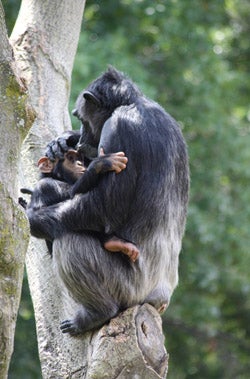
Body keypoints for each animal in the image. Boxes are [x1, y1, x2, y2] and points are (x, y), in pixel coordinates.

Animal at [26, 67, 188, 336]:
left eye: (82, 118)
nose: (81, 138)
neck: (132, 104)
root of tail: (159, 300)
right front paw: (61, 141)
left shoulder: (118, 127)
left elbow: (103, 207)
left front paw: (32, 218)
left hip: (128, 288)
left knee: (70, 240)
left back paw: (96, 313)